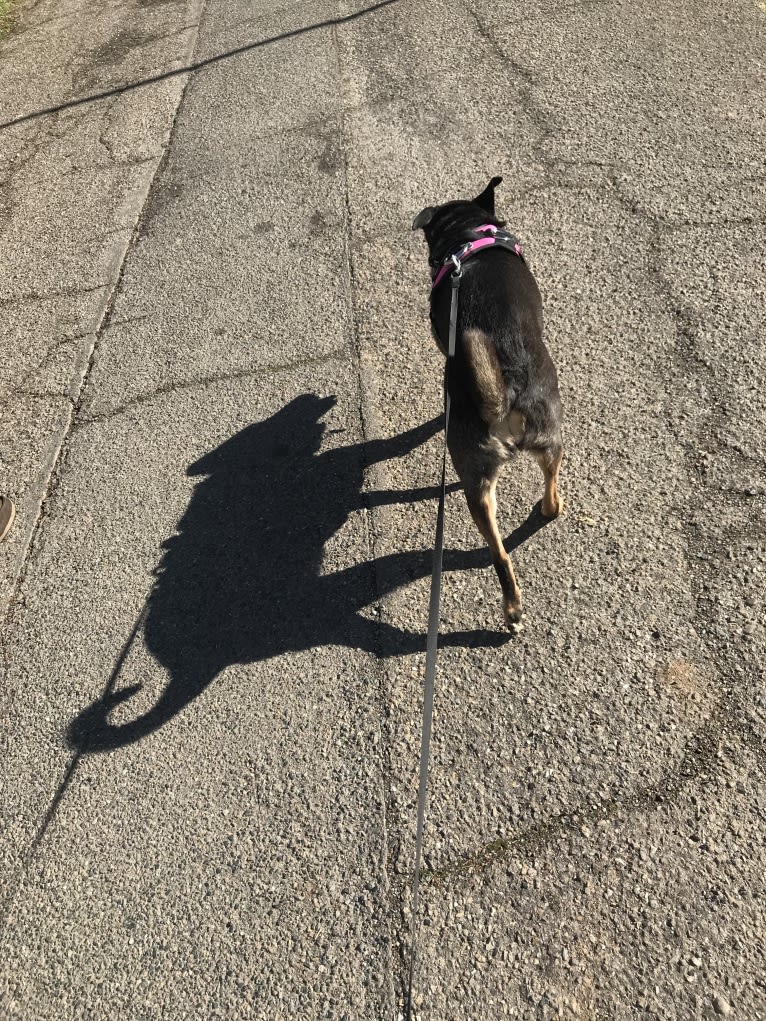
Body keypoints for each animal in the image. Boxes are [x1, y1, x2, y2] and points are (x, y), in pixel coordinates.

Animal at [414, 175, 563, 628]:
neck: (468, 236)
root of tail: (506, 395)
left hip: (481, 471)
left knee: (500, 550)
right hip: (542, 443)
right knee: (538, 508)